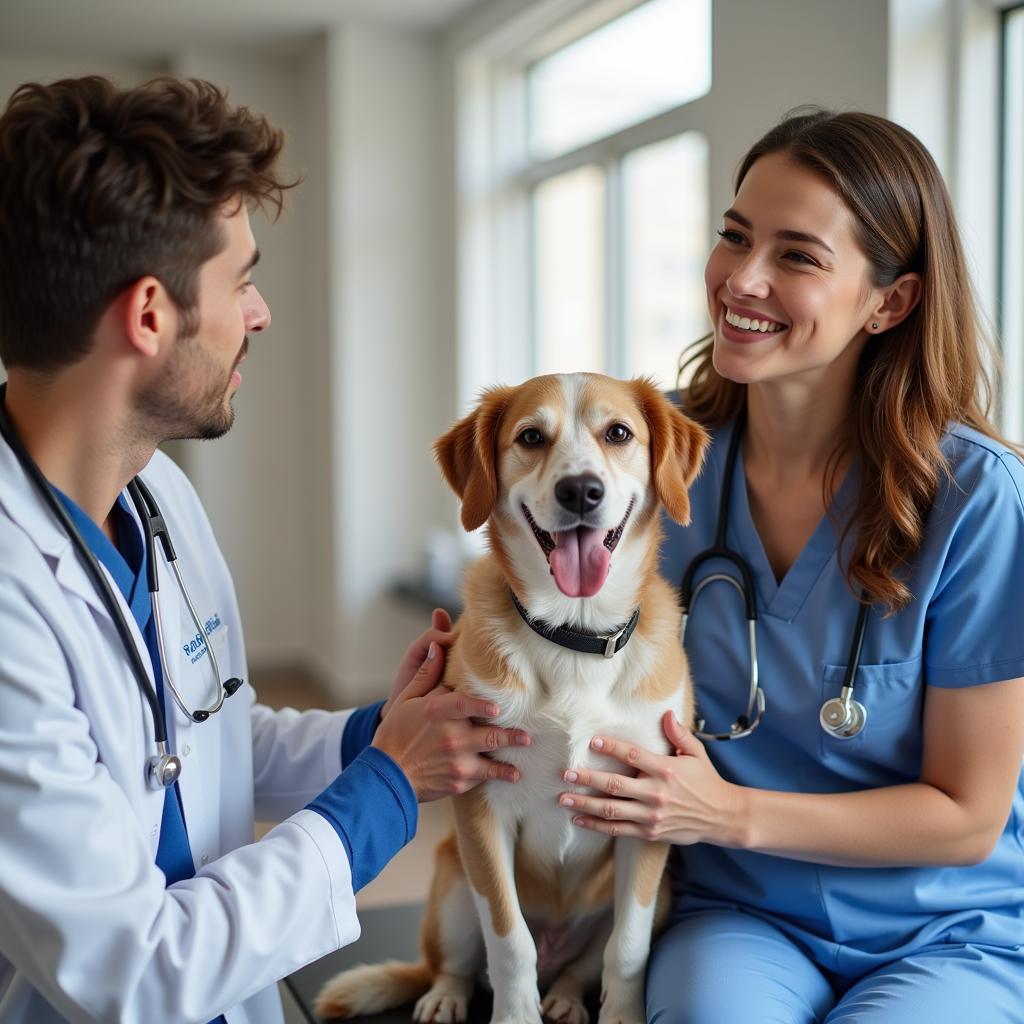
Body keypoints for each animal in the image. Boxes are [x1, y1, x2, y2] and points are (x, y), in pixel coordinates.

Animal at [315, 376, 708, 1024]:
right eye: (530, 437)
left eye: (618, 433)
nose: (581, 490)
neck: (573, 634)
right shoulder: (481, 808)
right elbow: (508, 940)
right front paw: (515, 1014)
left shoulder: (648, 814)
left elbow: (628, 948)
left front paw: (621, 1013)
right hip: (452, 877)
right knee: (460, 963)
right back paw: (446, 996)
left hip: (661, 895)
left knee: (580, 967)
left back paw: (568, 998)